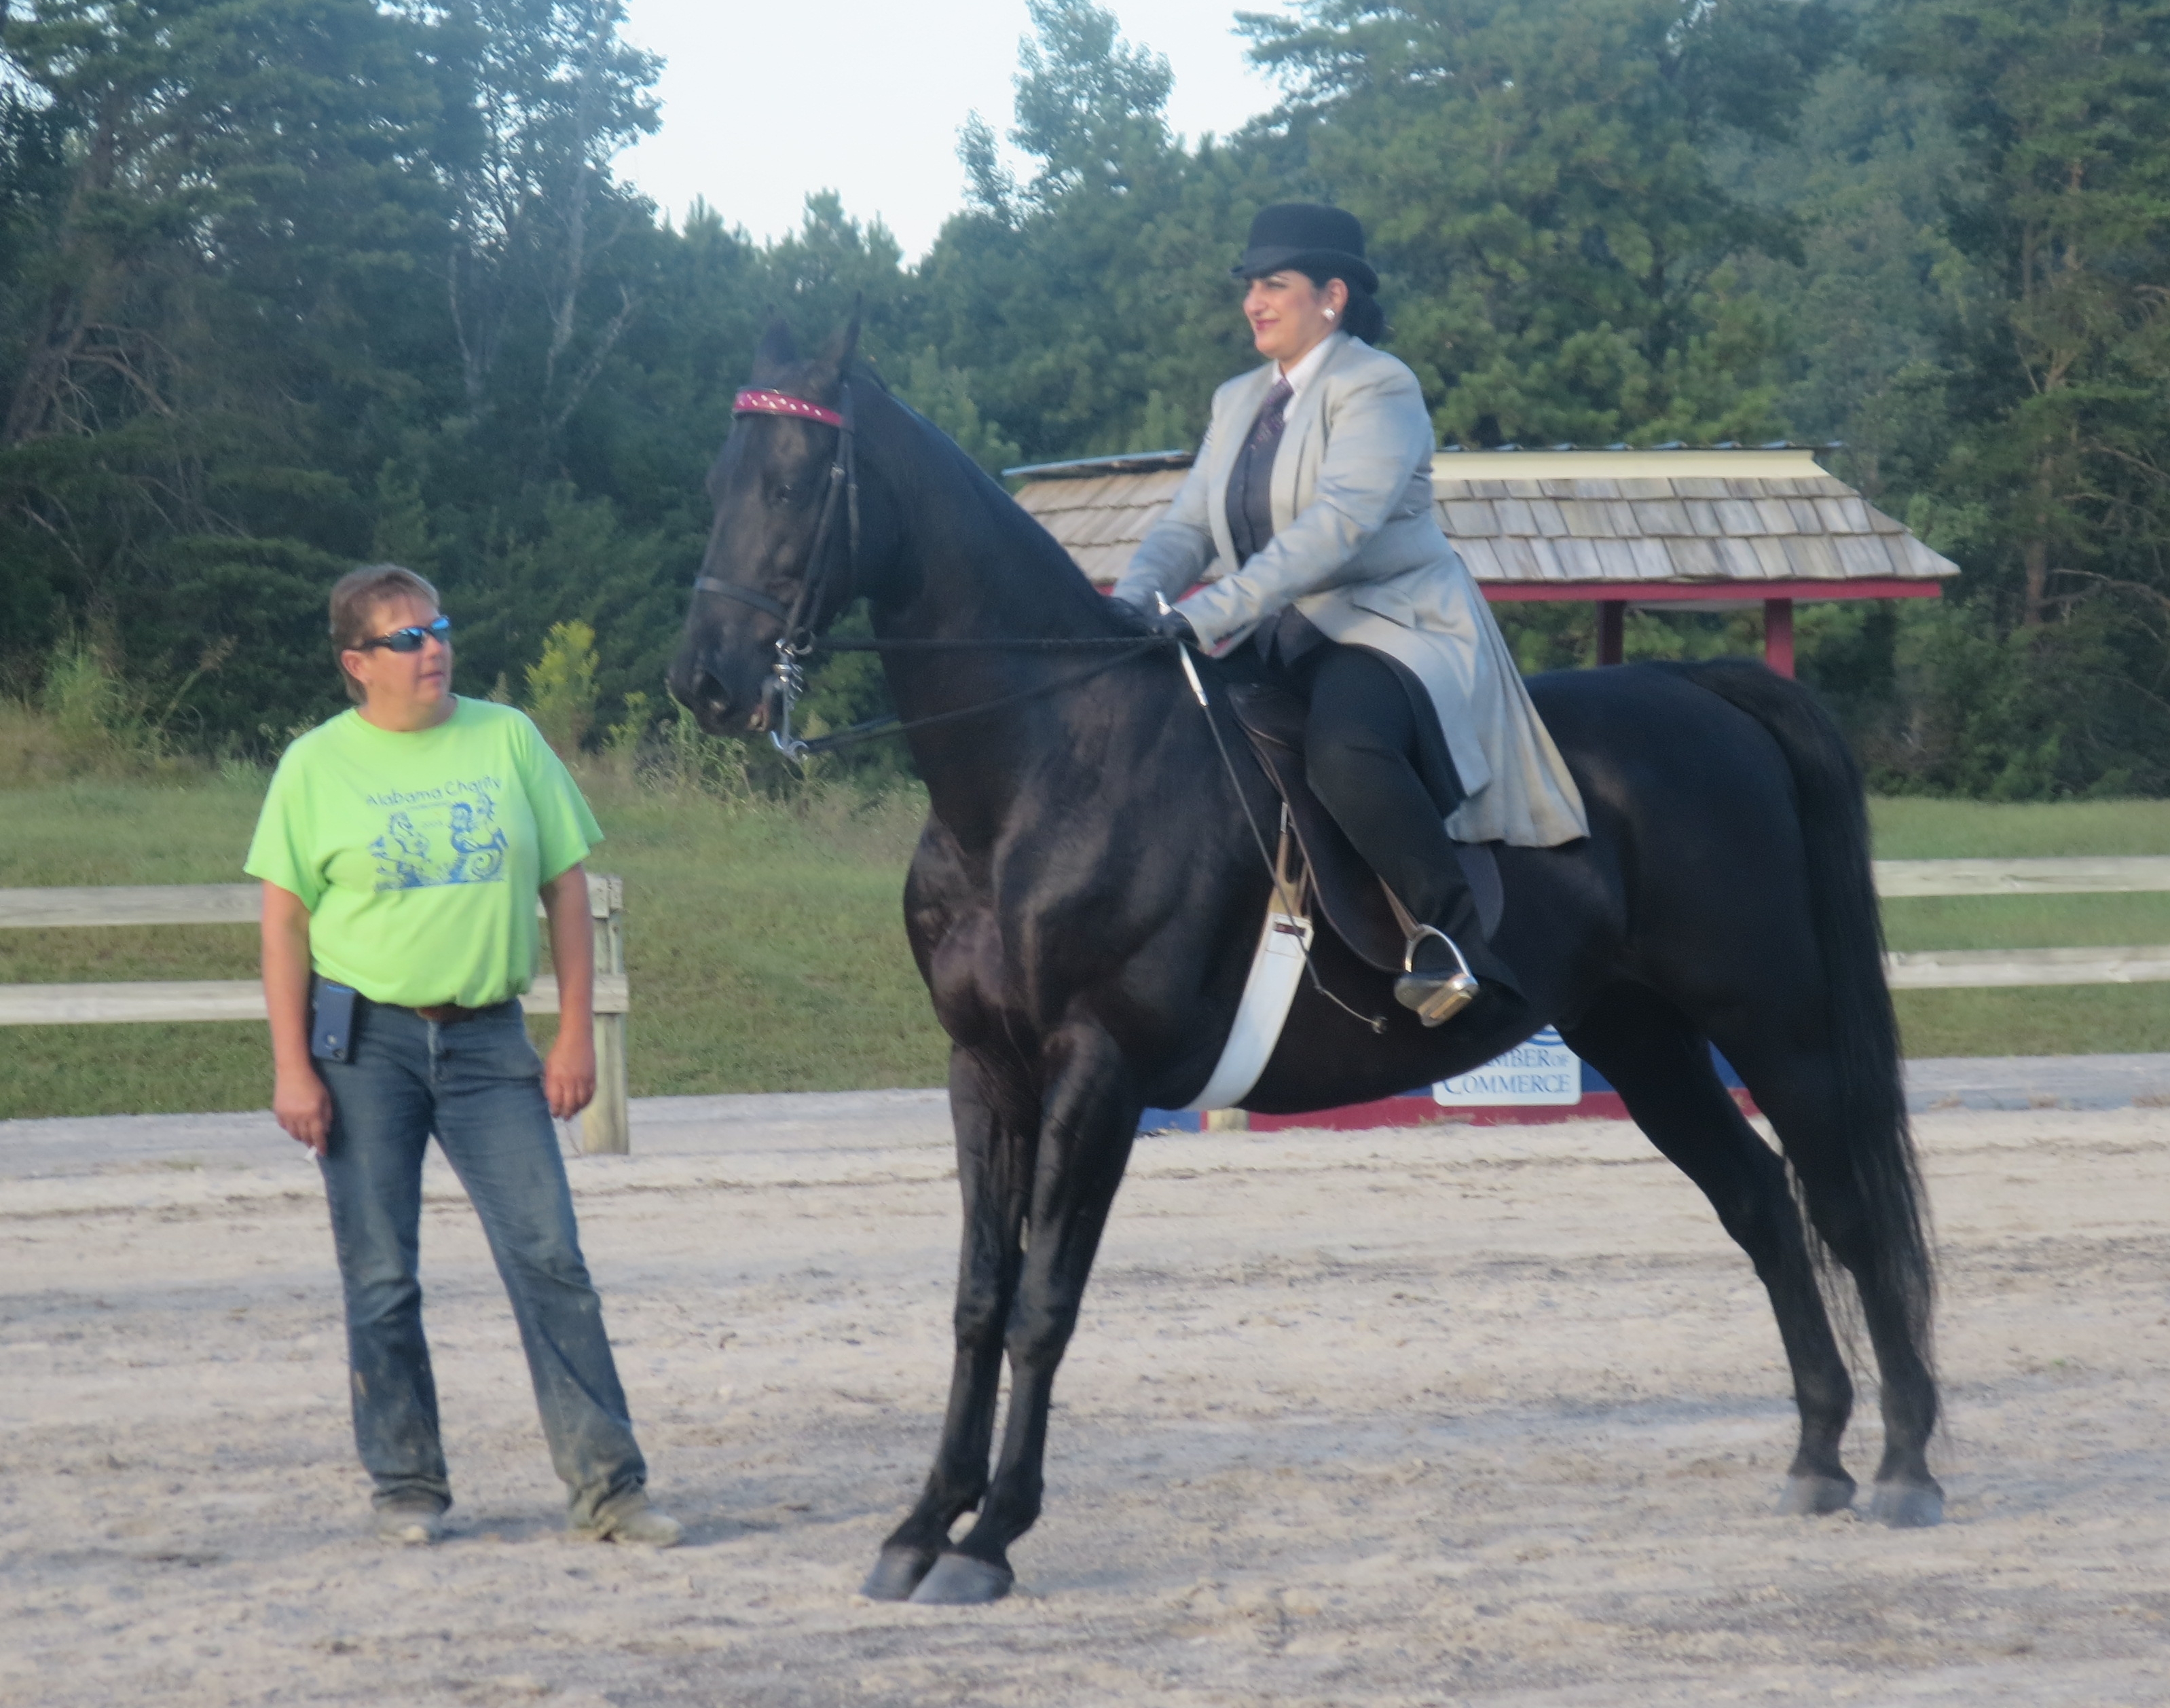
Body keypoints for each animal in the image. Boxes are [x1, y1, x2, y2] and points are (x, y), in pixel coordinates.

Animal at [667, 316, 1941, 1607]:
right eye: (719, 483)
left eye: (791, 486)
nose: (706, 680)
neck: (1040, 768)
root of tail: (1706, 691)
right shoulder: (985, 1070)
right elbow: (980, 1301)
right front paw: (923, 1524)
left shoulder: (1097, 1073)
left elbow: (1043, 1304)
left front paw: (990, 1538)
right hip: (1643, 1040)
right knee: (1762, 1203)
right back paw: (1818, 1454)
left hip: (1775, 1025)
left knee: (1843, 1205)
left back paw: (1904, 1464)